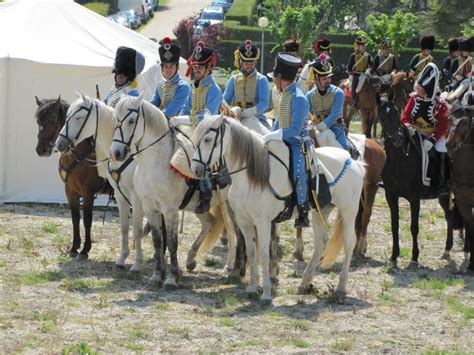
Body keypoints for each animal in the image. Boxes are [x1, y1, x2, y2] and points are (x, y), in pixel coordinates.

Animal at [34, 97, 108, 262]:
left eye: (52, 120)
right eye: (38, 121)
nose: (41, 150)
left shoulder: (88, 193)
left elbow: (87, 219)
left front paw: (85, 250)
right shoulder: (70, 191)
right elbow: (75, 218)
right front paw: (74, 248)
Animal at [110, 96, 228, 290]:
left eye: (132, 120)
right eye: (116, 119)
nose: (116, 153)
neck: (154, 164)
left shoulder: (170, 210)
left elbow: (172, 243)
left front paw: (171, 278)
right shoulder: (150, 209)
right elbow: (158, 241)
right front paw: (156, 276)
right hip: (199, 207)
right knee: (209, 224)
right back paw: (190, 260)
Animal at [191, 115, 364, 304]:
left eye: (208, 139)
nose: (196, 170)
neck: (252, 177)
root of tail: (352, 160)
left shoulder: (263, 222)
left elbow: (264, 254)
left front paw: (266, 293)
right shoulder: (244, 221)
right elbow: (251, 252)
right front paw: (252, 288)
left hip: (348, 210)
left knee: (349, 242)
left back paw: (340, 289)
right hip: (321, 211)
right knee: (320, 243)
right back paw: (305, 282)